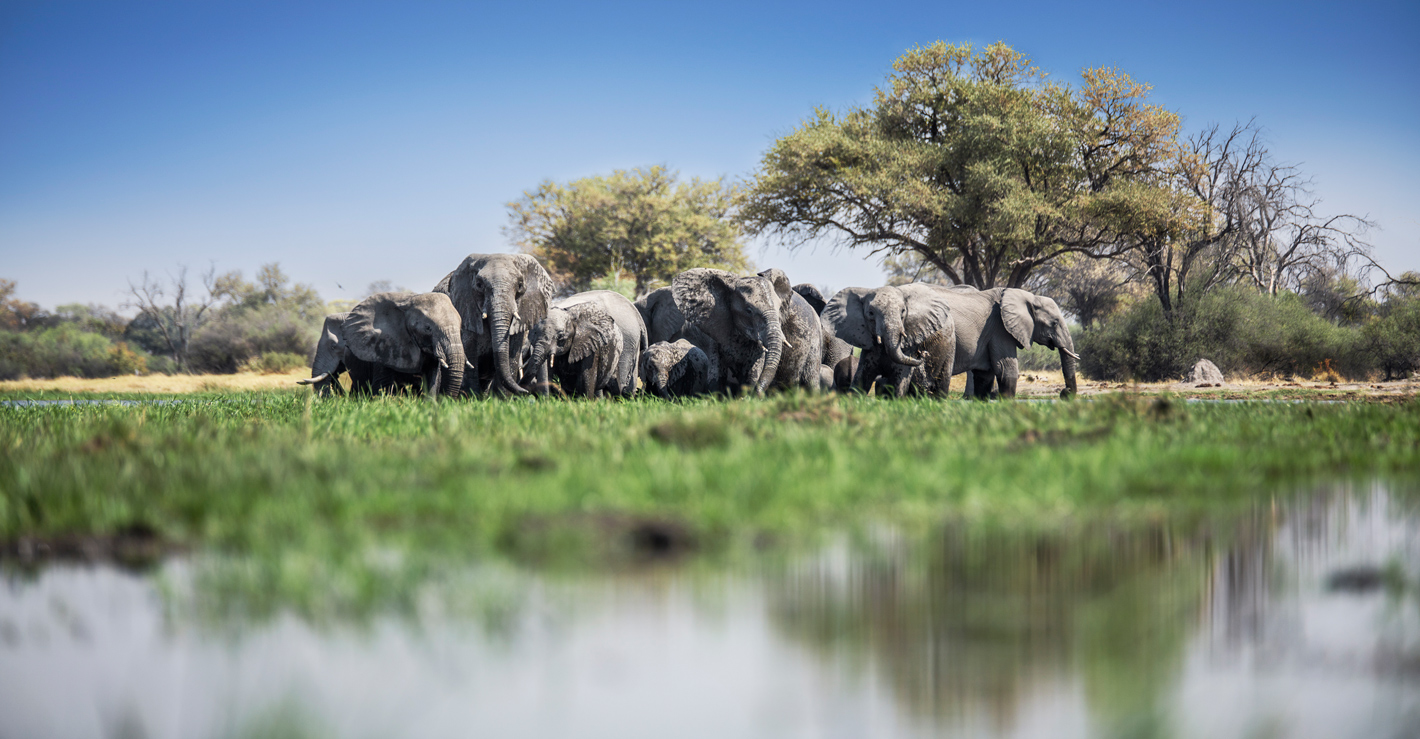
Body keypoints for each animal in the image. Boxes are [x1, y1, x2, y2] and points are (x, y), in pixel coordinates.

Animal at [434, 252, 550, 395]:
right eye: (479, 285)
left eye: (520, 285)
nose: (526, 391)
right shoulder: (465, 307)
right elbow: (469, 351)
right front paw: (473, 397)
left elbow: (512, 354)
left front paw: (502, 398)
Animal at [823, 284, 954, 397]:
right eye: (871, 313)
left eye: (903, 311)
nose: (923, 353)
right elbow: (861, 379)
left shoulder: (908, 347)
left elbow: (899, 382)